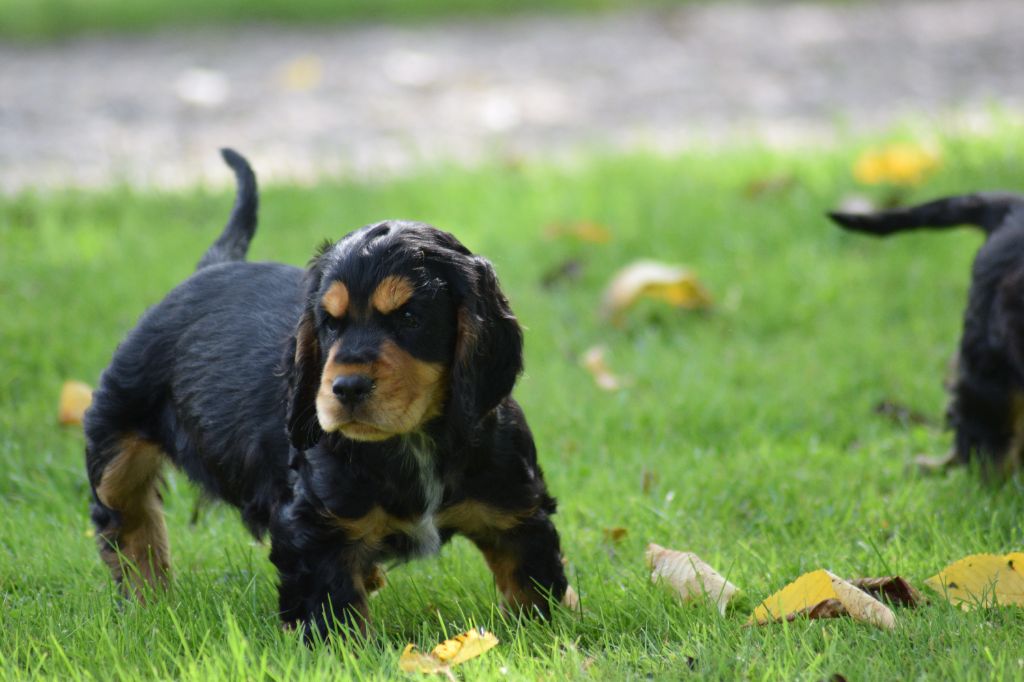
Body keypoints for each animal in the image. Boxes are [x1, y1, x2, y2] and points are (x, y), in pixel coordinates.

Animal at [83, 148, 573, 638]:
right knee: (128, 523)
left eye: (410, 317)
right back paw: (147, 603)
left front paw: (543, 636)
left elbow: (533, 585)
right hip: (118, 430)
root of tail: (209, 269)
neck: (414, 439)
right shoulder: (315, 528)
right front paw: (346, 647)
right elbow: (335, 609)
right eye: (330, 323)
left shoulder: (516, 508)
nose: (347, 387)